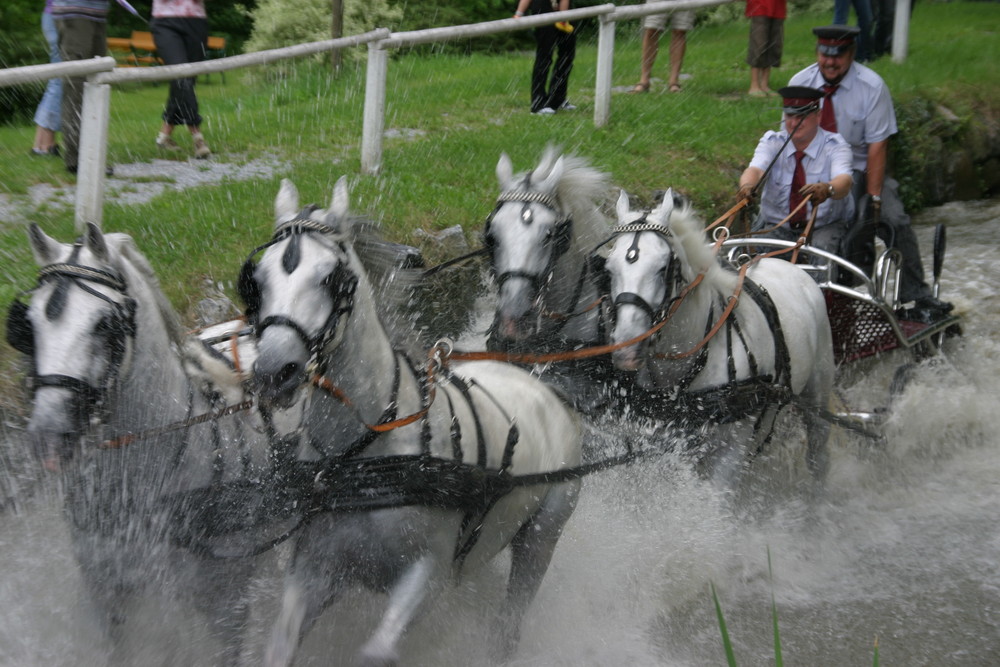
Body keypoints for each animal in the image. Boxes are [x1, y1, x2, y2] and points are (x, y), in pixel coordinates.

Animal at [243, 177, 584, 667]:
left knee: (512, 617)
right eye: (257, 280)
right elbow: (280, 645)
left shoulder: (427, 576)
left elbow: (376, 652)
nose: (274, 372)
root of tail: (543, 389)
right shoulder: (314, 569)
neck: (369, 455)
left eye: (331, 278)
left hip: (542, 536)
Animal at [600, 190, 836, 482]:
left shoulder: (730, 451)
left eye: (663, 268)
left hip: (818, 395)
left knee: (819, 450)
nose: (627, 351)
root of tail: (790, 264)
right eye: (608, 269)